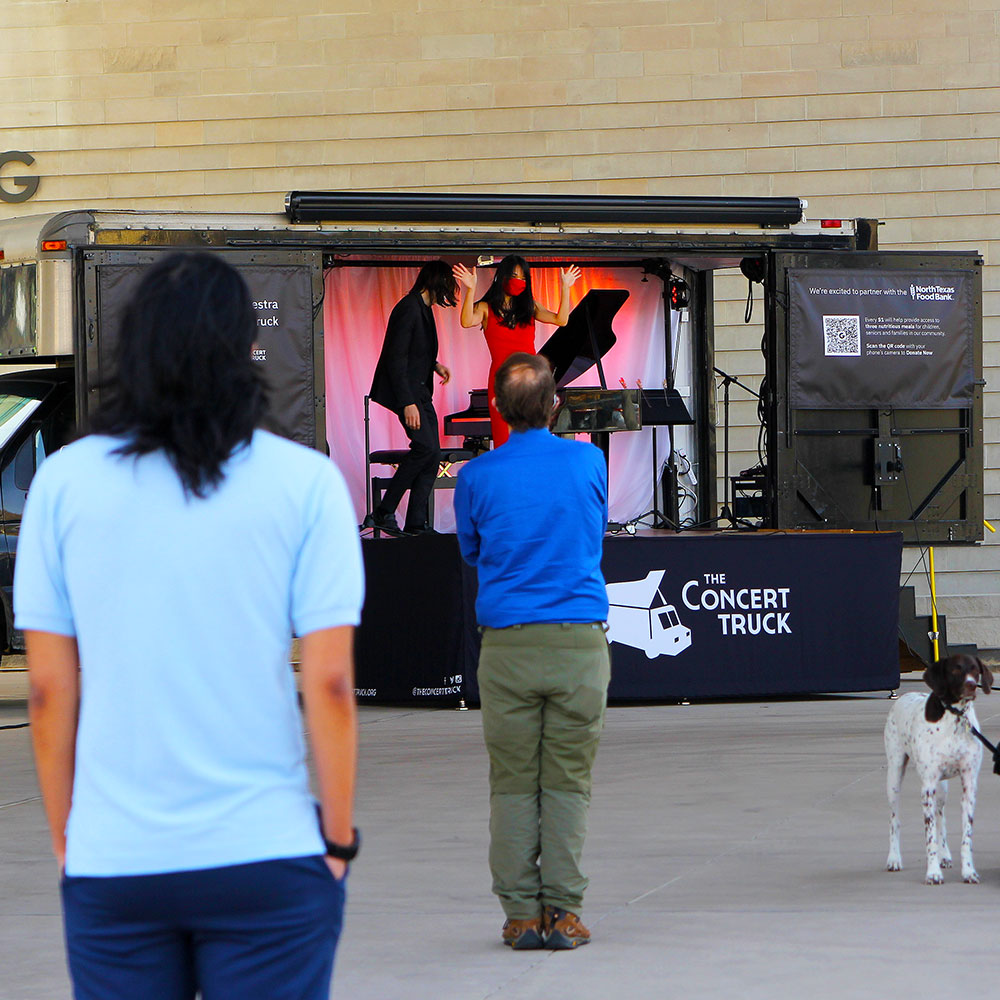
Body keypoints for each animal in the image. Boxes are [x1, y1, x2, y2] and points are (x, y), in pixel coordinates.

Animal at [884, 656, 992, 884]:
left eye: (975, 670)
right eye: (955, 670)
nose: (971, 685)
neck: (955, 718)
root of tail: (905, 695)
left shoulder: (969, 785)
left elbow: (965, 837)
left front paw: (968, 871)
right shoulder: (927, 787)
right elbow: (929, 836)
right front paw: (933, 873)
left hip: (942, 788)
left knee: (941, 817)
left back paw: (945, 855)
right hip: (894, 778)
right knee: (894, 820)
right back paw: (894, 858)